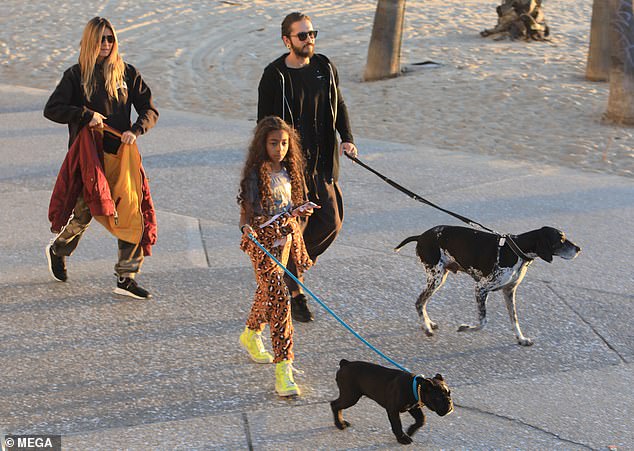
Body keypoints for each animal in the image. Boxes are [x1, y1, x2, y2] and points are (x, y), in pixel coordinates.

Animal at [396, 226, 576, 346]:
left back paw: (428, 323)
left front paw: (521, 338)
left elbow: (514, 319)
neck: (516, 251)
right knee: (419, 302)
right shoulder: (481, 288)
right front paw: (466, 328)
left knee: (423, 302)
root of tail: (420, 236)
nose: (579, 249)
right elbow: (483, 322)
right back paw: (426, 327)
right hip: (436, 278)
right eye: (561, 240)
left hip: (439, 278)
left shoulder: (509, 291)